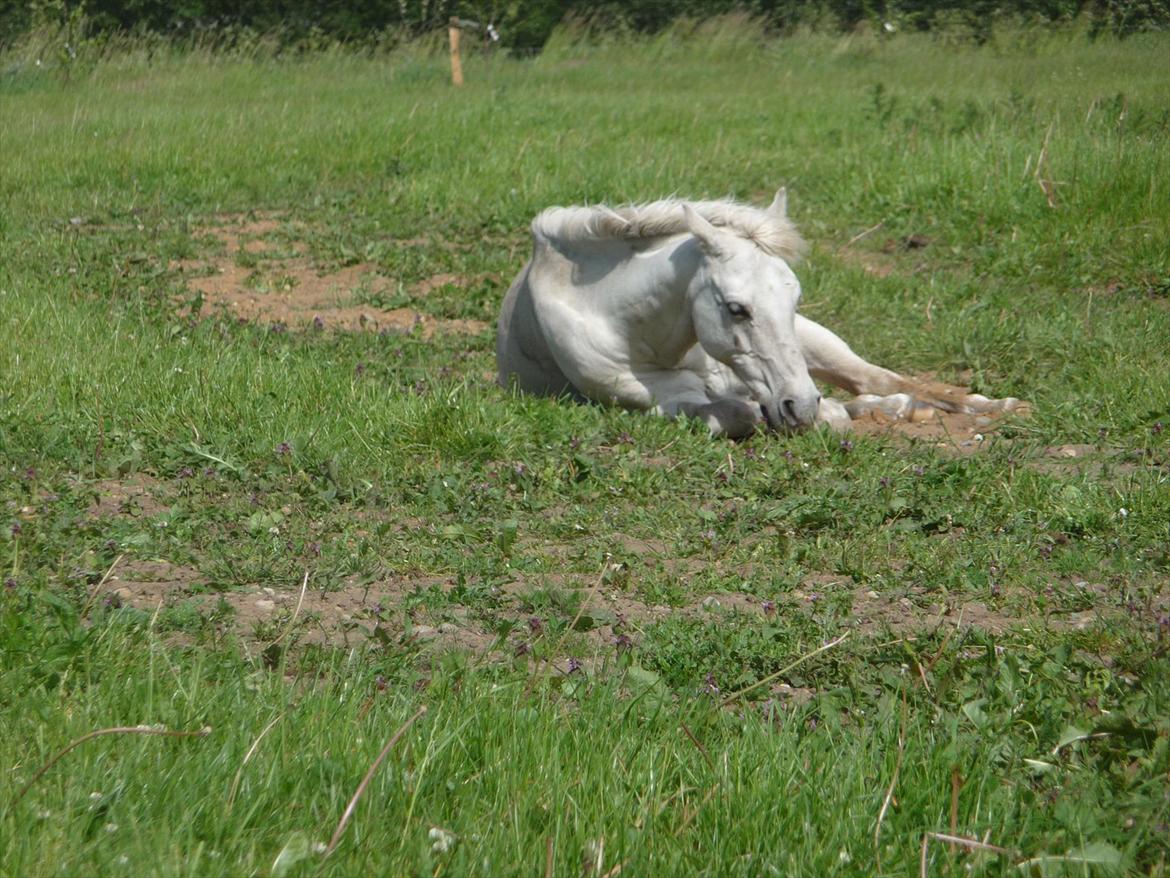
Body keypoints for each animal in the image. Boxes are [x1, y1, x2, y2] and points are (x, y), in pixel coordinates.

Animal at [498, 191, 1020, 440]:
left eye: (794, 300)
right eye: (736, 308)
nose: (799, 406)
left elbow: (827, 410)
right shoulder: (654, 397)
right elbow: (736, 412)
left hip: (818, 343)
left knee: (880, 379)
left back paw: (991, 406)